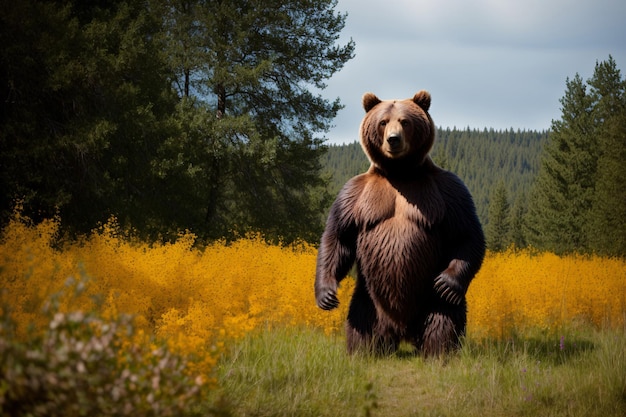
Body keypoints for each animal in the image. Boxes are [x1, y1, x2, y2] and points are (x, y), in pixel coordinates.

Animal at [314, 90, 486, 354]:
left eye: (405, 121)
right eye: (383, 122)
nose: (393, 139)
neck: (400, 172)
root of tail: (403, 332)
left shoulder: (447, 190)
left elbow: (466, 233)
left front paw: (448, 282)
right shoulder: (354, 194)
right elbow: (338, 237)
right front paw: (326, 295)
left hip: (430, 299)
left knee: (443, 322)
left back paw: (439, 352)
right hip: (369, 298)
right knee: (361, 325)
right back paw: (363, 351)